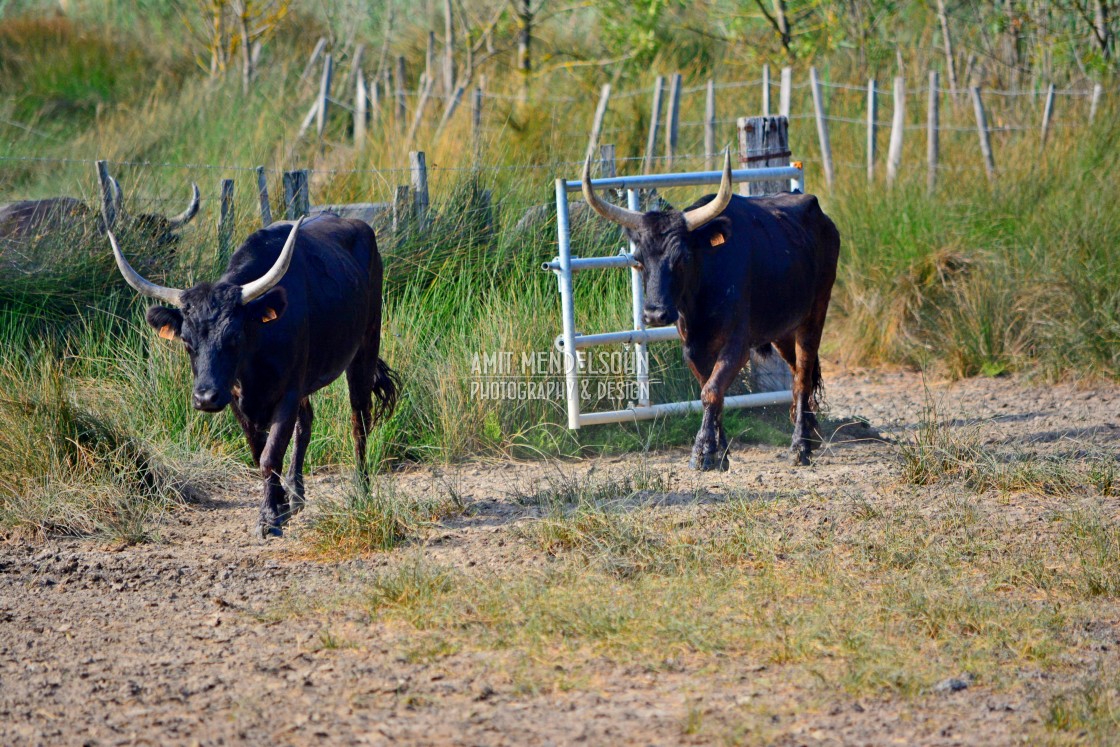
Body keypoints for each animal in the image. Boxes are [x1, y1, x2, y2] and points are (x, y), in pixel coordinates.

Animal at [109, 212, 398, 535]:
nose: (205, 398)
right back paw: (296, 496)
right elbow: (259, 450)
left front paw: (269, 518)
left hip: (366, 347)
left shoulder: (287, 392)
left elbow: (270, 456)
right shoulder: (236, 397)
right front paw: (279, 504)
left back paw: (362, 488)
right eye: (186, 340)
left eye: (234, 336)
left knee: (359, 419)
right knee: (307, 423)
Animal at [586, 148, 842, 470]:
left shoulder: (737, 345)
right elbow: (712, 390)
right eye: (639, 259)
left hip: (815, 313)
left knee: (801, 378)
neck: (701, 296)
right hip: (783, 327)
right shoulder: (692, 347)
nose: (655, 314)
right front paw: (720, 451)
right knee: (799, 372)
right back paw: (811, 431)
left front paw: (703, 452)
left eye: (682, 257)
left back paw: (801, 447)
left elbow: (711, 390)